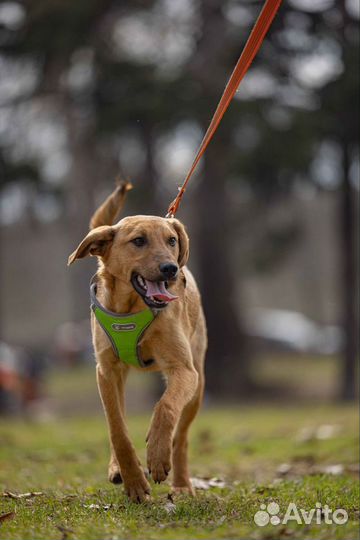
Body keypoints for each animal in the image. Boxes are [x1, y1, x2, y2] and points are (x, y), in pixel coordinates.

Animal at [68, 182, 207, 502]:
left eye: (171, 240)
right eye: (139, 241)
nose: (170, 269)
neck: (131, 308)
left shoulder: (184, 370)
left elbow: (166, 407)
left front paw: (156, 455)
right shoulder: (106, 371)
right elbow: (117, 429)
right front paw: (133, 480)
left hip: (198, 384)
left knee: (181, 436)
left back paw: (181, 482)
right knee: (117, 420)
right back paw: (116, 468)